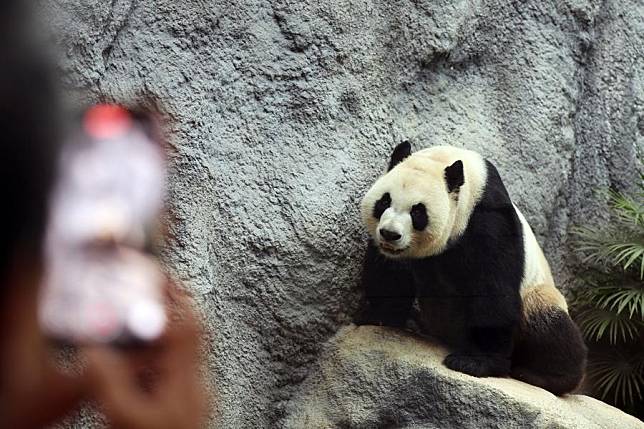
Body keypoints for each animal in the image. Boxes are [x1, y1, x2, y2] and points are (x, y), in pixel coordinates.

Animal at [358, 142, 588, 396]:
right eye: (384, 202)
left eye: (417, 212)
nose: (390, 234)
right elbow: (390, 275)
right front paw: (379, 317)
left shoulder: (487, 219)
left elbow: (493, 290)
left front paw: (476, 363)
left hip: (536, 296)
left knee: (549, 324)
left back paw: (547, 376)